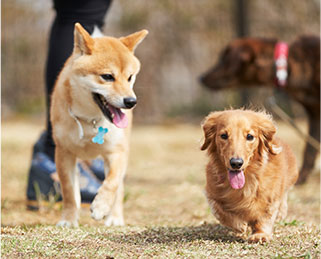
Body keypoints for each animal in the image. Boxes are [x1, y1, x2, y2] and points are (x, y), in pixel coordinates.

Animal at [51, 22, 148, 228]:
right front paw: (68, 220)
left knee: (119, 188)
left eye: (130, 77)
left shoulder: (116, 152)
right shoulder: (64, 153)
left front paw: (101, 207)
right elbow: (69, 192)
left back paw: (114, 218)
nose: (131, 102)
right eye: (107, 76)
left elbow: (112, 183)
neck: (91, 120)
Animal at [200, 109, 298, 244]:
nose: (236, 163)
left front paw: (260, 235)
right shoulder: (212, 194)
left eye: (250, 136)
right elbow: (221, 211)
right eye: (224, 135)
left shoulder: (270, 198)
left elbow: (265, 216)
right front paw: (240, 225)